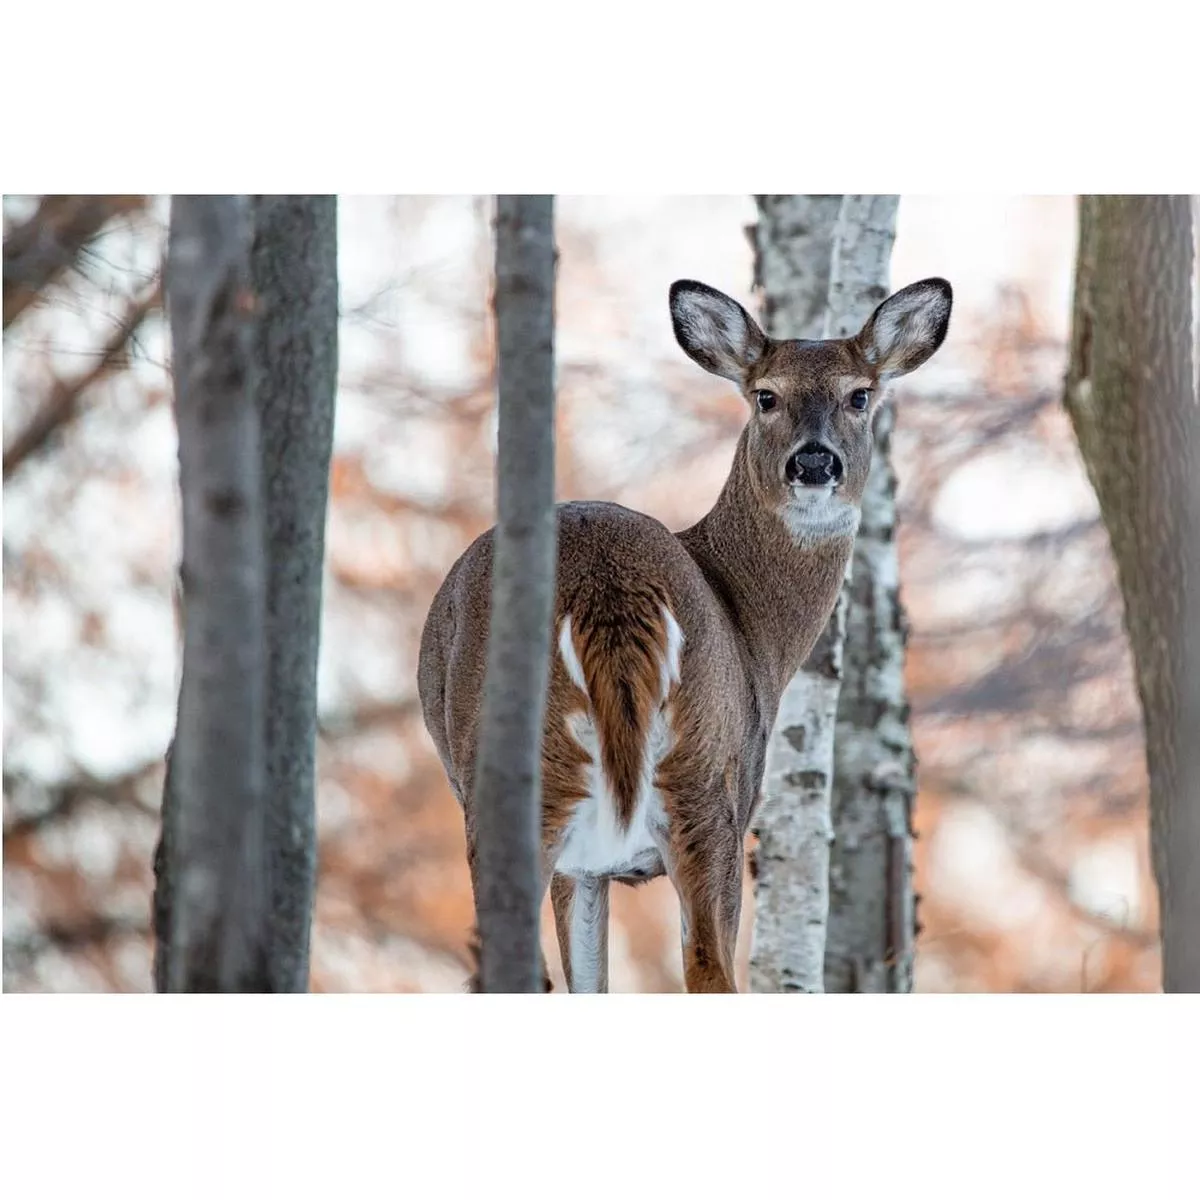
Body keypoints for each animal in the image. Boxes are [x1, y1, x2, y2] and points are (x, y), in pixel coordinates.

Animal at [418, 274, 953, 992]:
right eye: (767, 395)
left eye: (859, 394)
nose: (815, 463)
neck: (753, 627)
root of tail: (608, 587)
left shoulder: (588, 863)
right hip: (703, 784)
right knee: (708, 969)